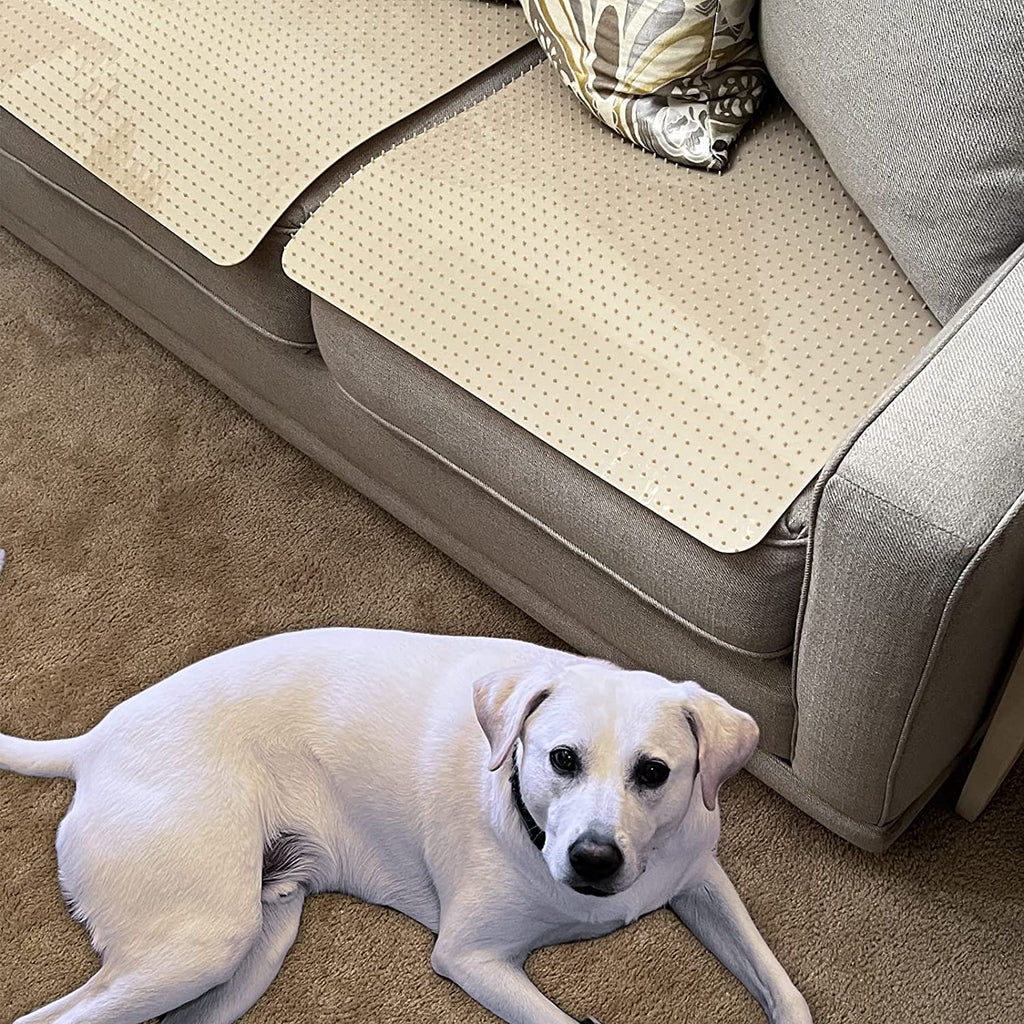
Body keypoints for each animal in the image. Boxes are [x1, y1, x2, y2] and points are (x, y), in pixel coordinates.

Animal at [2, 626, 815, 1019]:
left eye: (654, 773)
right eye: (561, 758)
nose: (593, 860)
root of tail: (93, 744)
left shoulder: (701, 880)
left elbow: (785, 990)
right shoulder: (474, 958)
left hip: (251, 951)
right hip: (204, 943)